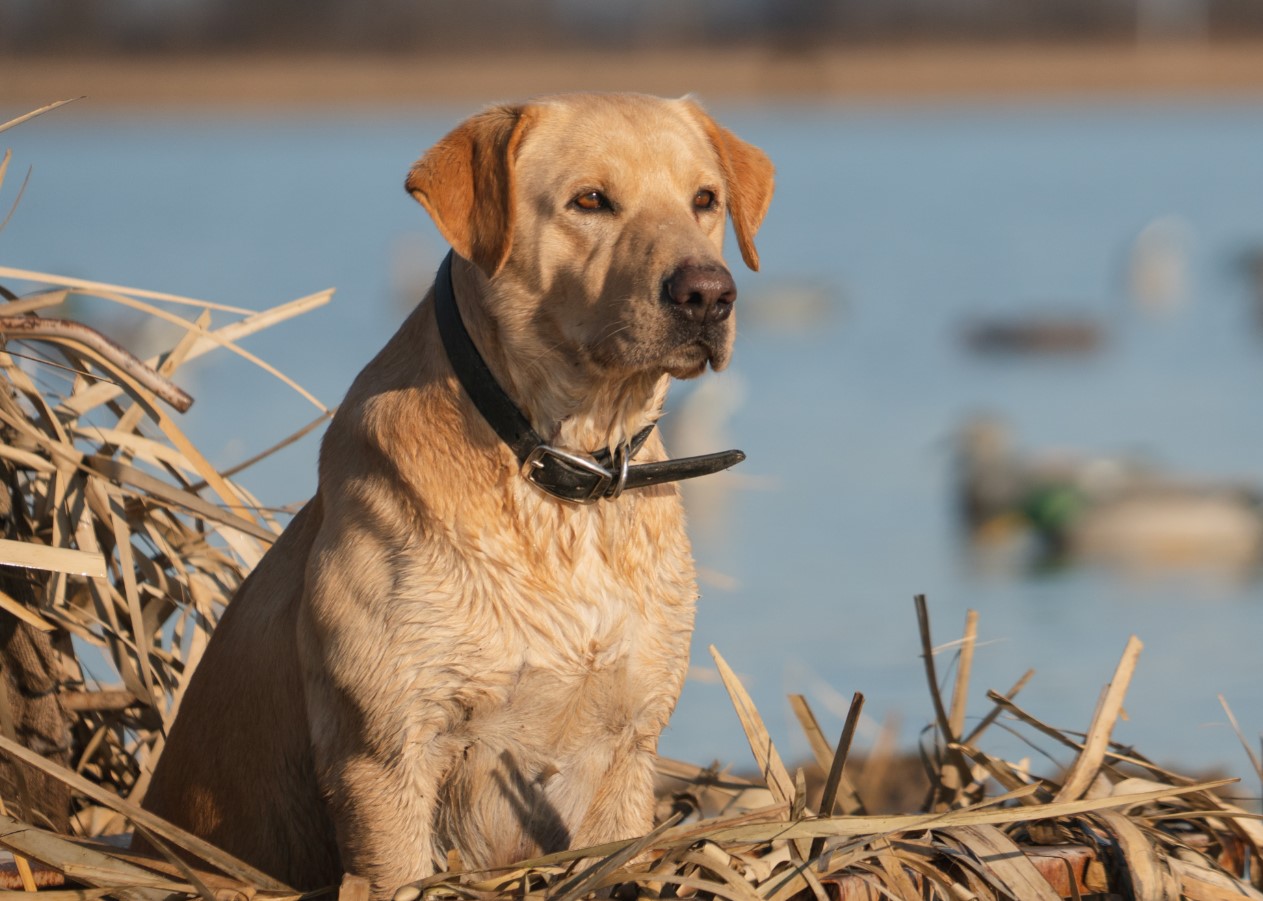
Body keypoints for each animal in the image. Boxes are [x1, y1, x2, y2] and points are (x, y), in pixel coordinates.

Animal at [138, 89, 767, 894]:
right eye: (590, 200)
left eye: (705, 199)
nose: (707, 294)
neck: (563, 478)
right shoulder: (386, 754)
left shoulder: (629, 749)